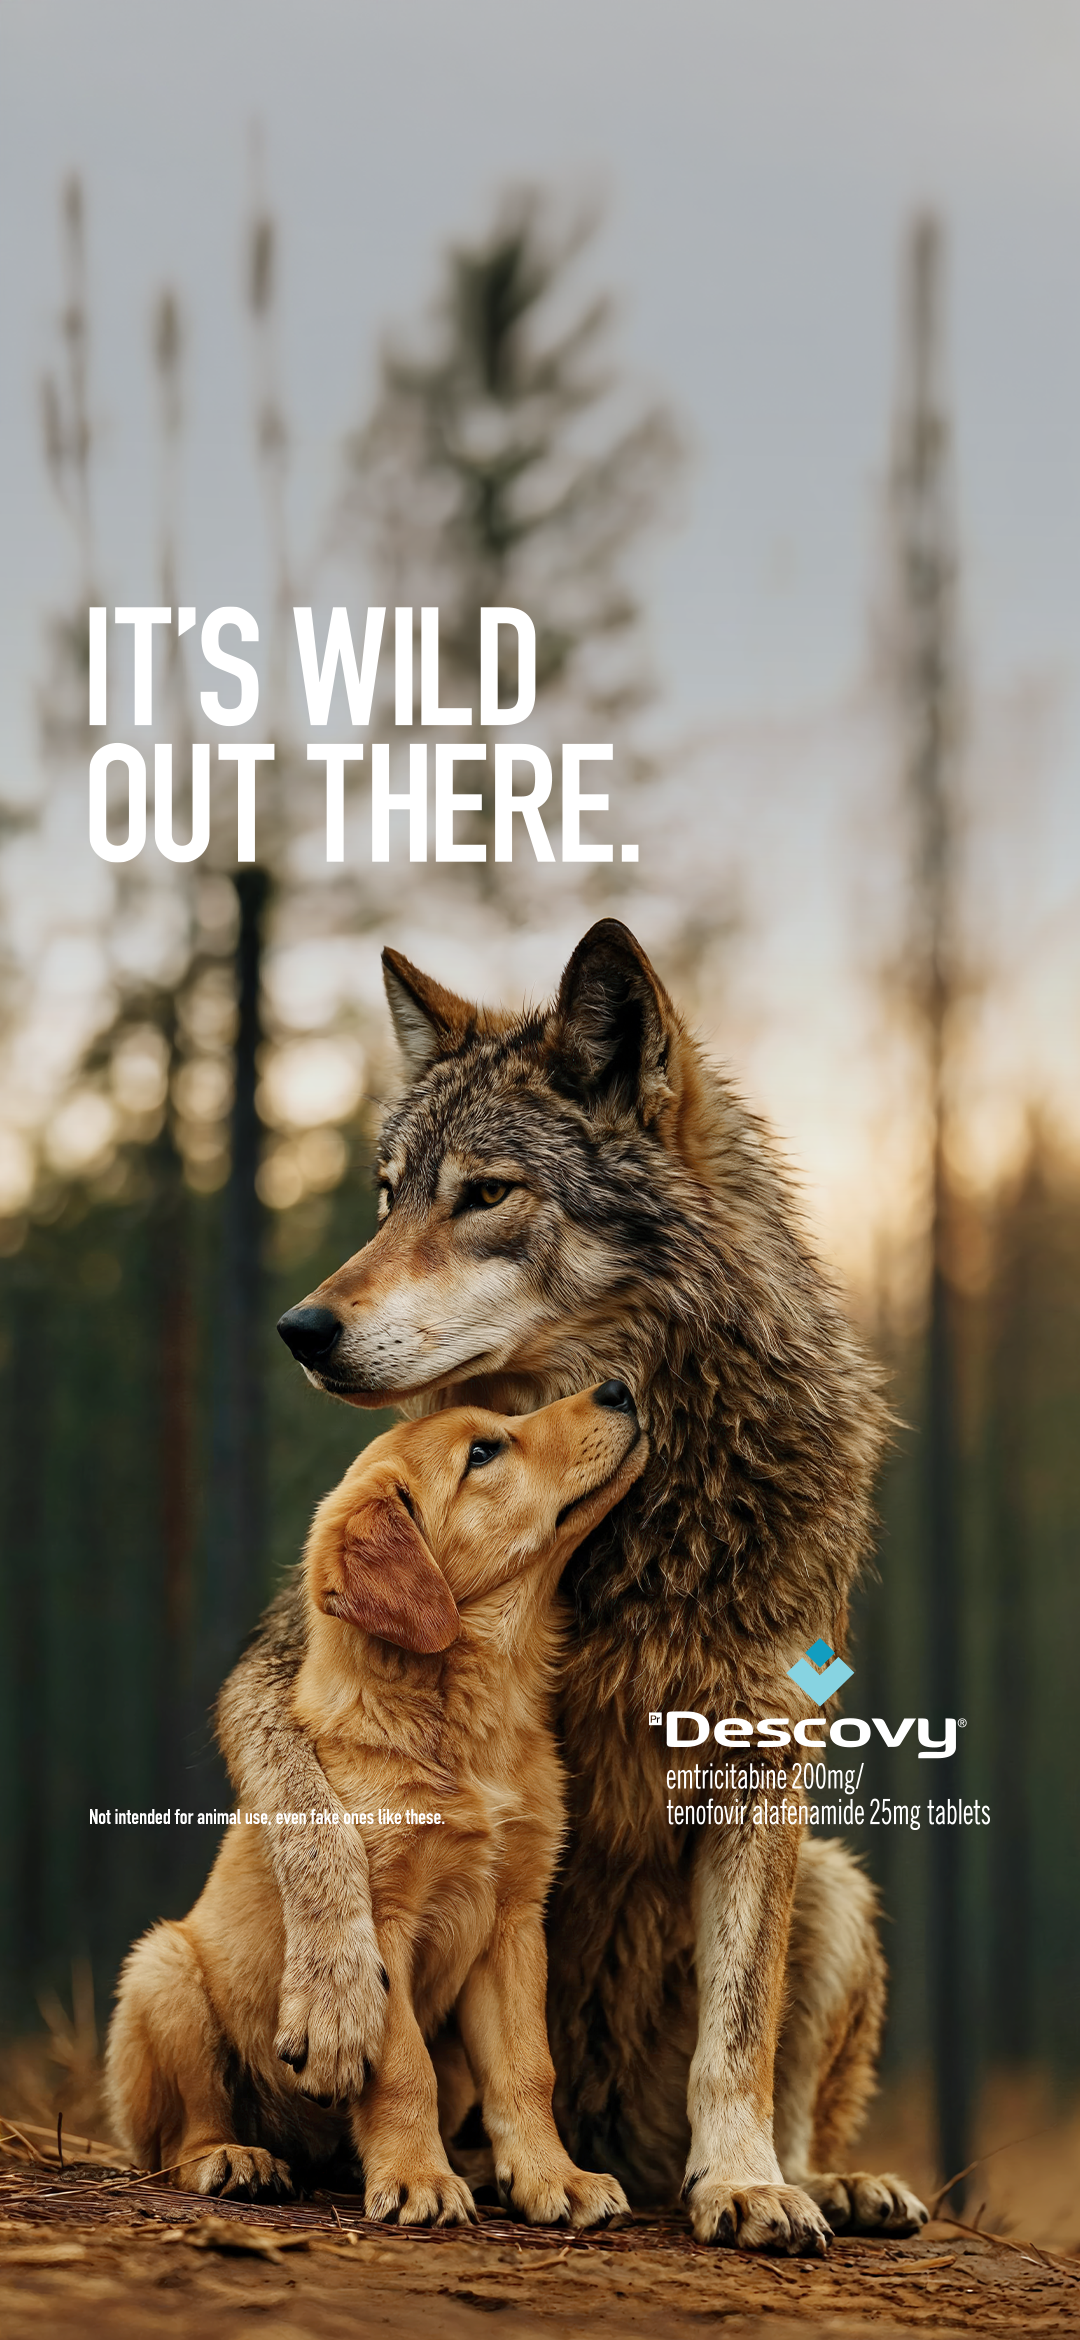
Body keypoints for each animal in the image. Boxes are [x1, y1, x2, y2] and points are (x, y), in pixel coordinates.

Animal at [216, 919, 926, 2253]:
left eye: (486, 1193)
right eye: (388, 1195)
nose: (299, 1330)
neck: (627, 1540)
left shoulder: (760, 1749)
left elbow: (739, 2032)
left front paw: (746, 2184)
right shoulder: (277, 1666)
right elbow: (313, 1818)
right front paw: (338, 1996)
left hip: (835, 1884)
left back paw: (825, 2183)